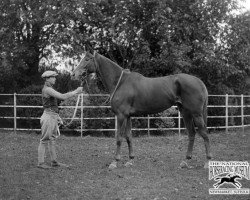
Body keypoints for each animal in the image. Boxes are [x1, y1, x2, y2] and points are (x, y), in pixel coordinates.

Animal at [71, 50, 212, 169]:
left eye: (87, 59)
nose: (73, 74)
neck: (120, 82)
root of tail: (199, 82)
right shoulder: (127, 116)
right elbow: (128, 137)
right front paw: (130, 160)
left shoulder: (121, 116)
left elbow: (119, 138)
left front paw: (114, 162)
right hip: (185, 113)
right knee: (192, 134)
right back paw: (185, 161)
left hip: (196, 114)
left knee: (204, 134)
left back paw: (207, 162)